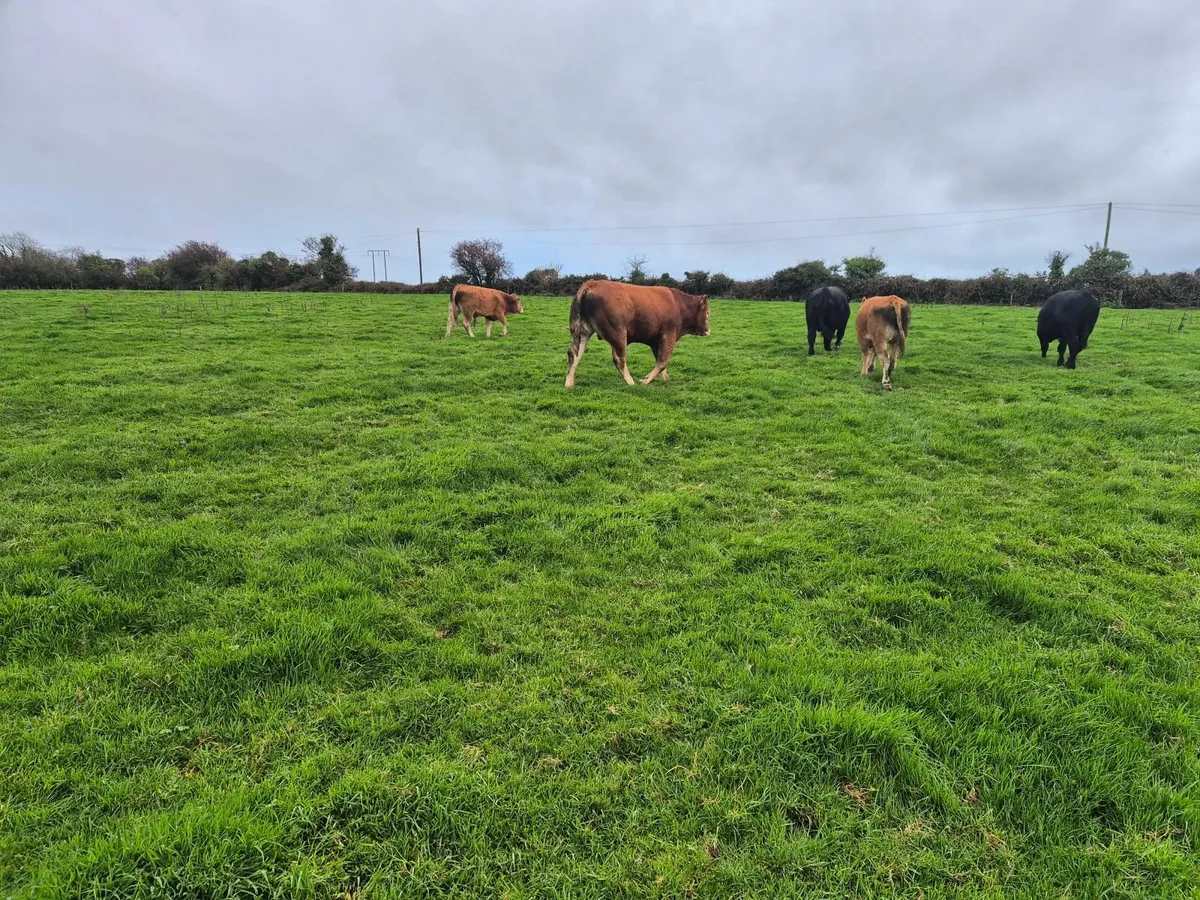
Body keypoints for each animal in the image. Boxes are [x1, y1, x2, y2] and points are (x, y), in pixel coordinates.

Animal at [564, 279, 710, 387]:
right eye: (708, 313)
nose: (708, 330)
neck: (679, 305)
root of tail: (590, 284)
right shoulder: (668, 334)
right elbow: (663, 361)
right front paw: (646, 380)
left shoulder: (655, 340)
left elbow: (659, 359)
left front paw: (662, 377)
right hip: (618, 335)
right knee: (619, 359)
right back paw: (630, 382)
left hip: (582, 332)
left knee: (574, 354)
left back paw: (569, 382)